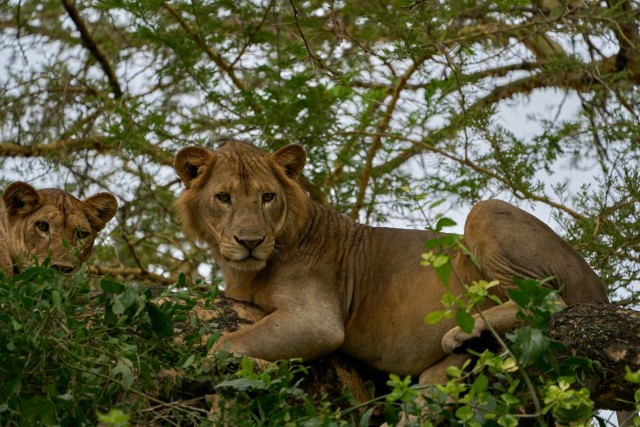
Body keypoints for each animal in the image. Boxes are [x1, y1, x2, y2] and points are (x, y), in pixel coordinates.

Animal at [175, 140, 620, 418]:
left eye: (267, 197)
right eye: (223, 198)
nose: (250, 242)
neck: (248, 270)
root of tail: (600, 289)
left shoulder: (317, 319)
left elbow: (226, 344)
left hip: (486, 211)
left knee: (549, 302)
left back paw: (466, 330)